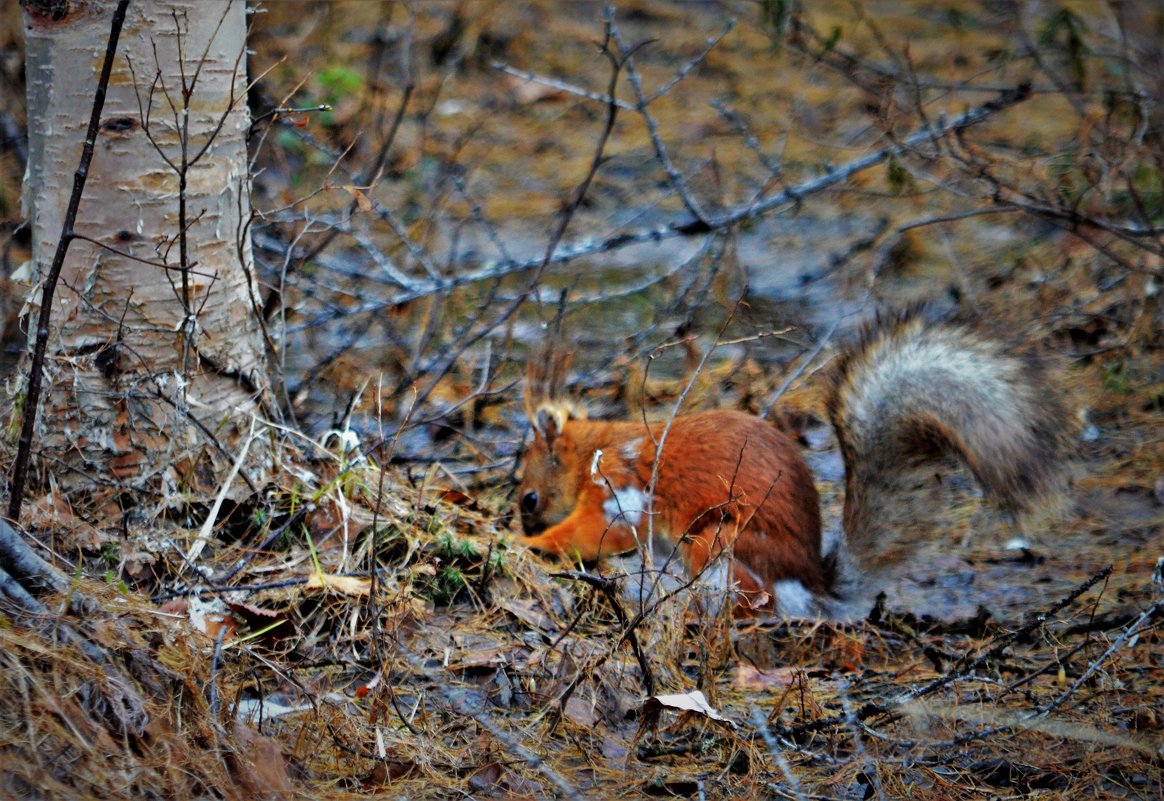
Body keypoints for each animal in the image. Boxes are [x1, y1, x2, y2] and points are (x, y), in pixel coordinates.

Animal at [519, 309, 1070, 614]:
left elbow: (590, 533)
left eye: (529, 497)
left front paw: (526, 543)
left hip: (717, 544)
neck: (593, 450)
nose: (522, 518)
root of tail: (809, 582)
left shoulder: (616, 491)